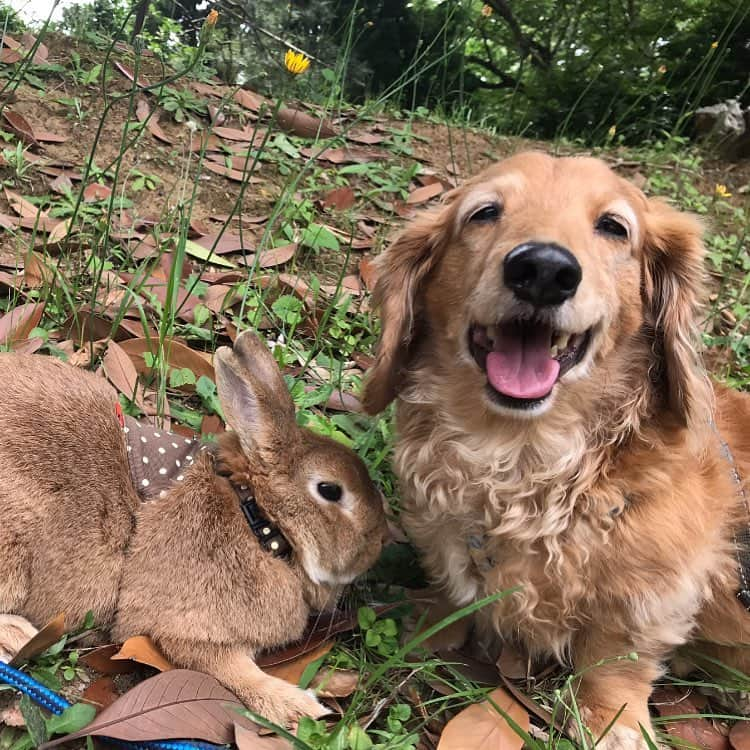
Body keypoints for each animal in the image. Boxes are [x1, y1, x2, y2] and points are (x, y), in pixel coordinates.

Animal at [0, 330, 388, 728]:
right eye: (330, 490)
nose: (381, 540)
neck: (256, 516)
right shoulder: (183, 629)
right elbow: (231, 670)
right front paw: (298, 708)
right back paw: (21, 636)